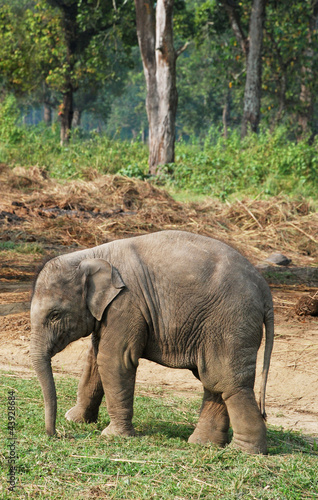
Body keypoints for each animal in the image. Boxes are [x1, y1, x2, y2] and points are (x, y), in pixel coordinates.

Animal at [30, 229, 274, 454]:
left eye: (54, 314)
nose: (55, 434)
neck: (90, 255)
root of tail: (264, 289)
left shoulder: (126, 304)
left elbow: (114, 360)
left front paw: (112, 435)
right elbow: (95, 359)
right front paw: (74, 419)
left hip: (231, 322)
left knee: (229, 382)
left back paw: (244, 451)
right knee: (214, 381)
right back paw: (203, 443)